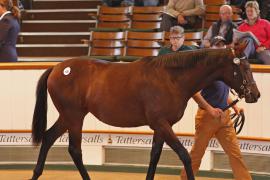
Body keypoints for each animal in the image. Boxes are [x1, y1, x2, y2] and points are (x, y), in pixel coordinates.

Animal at [30, 46, 260, 180]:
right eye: (243, 68)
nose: (255, 94)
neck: (171, 79)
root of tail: (57, 68)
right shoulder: (161, 123)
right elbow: (185, 156)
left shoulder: (161, 126)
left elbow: (155, 156)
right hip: (74, 116)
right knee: (74, 150)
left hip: (68, 116)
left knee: (49, 137)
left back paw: (36, 173)